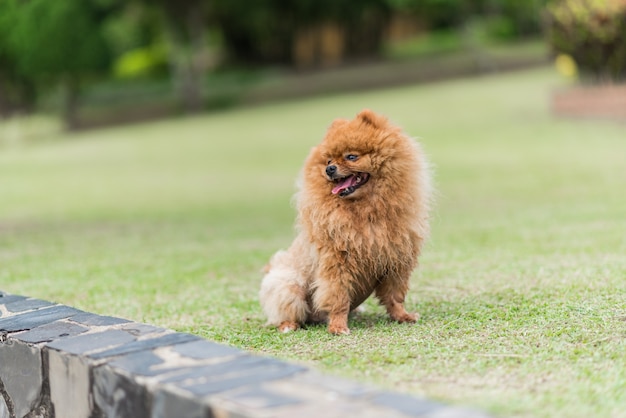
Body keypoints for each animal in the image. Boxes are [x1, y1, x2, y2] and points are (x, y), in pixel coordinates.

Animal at [258, 109, 428, 334]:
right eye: (329, 160)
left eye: (351, 157)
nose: (329, 169)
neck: (367, 210)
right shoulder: (337, 263)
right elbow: (337, 297)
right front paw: (338, 326)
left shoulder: (396, 262)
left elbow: (395, 296)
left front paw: (402, 316)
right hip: (288, 286)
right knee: (287, 312)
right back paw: (289, 325)